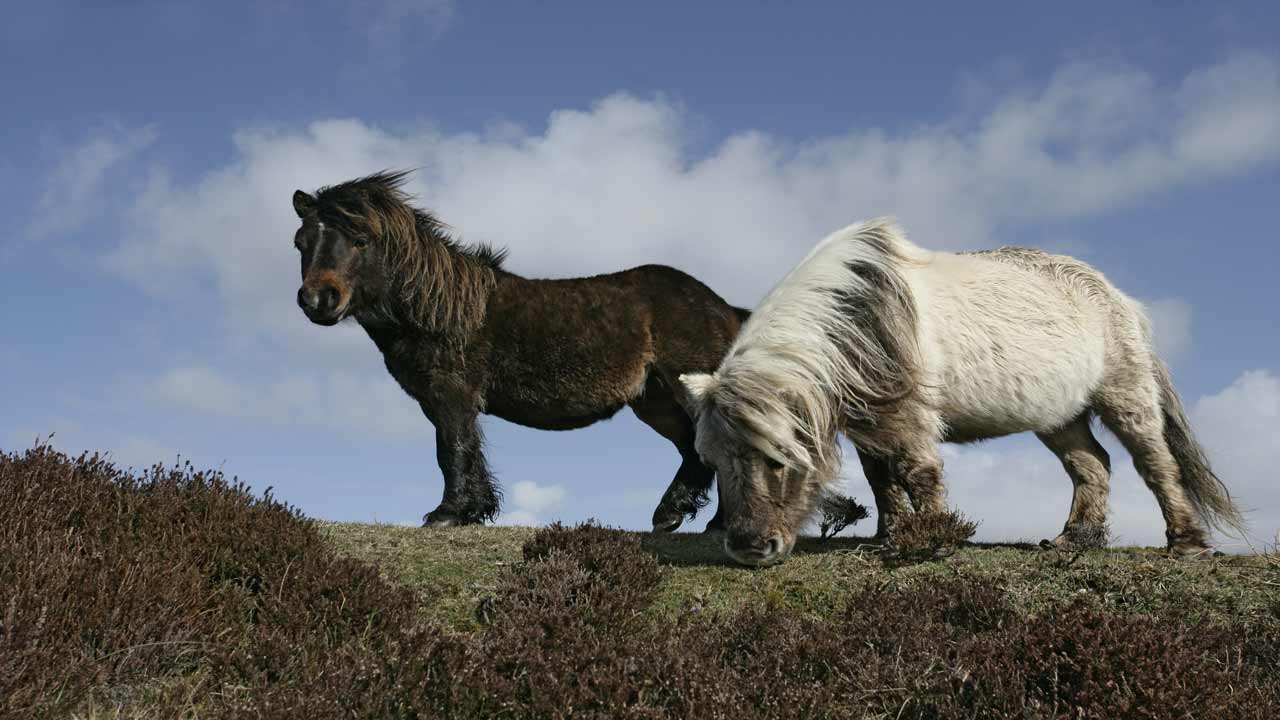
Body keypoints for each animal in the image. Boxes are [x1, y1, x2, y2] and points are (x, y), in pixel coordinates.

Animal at [290, 170, 747, 530]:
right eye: (301, 243)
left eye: (360, 239)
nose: (318, 300)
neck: (440, 308)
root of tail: (725, 308)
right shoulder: (442, 400)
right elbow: (466, 449)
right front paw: (473, 511)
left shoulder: (451, 393)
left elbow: (451, 449)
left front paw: (446, 514)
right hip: (656, 403)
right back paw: (680, 517)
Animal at [679, 218, 1244, 566]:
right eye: (713, 459)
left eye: (778, 458)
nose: (751, 548)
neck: (860, 314)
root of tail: (1120, 298)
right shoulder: (868, 417)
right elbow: (881, 479)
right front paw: (893, 535)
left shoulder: (907, 414)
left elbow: (917, 472)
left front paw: (932, 539)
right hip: (1059, 415)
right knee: (1092, 465)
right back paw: (1073, 539)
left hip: (1125, 395)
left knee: (1156, 464)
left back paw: (1186, 543)